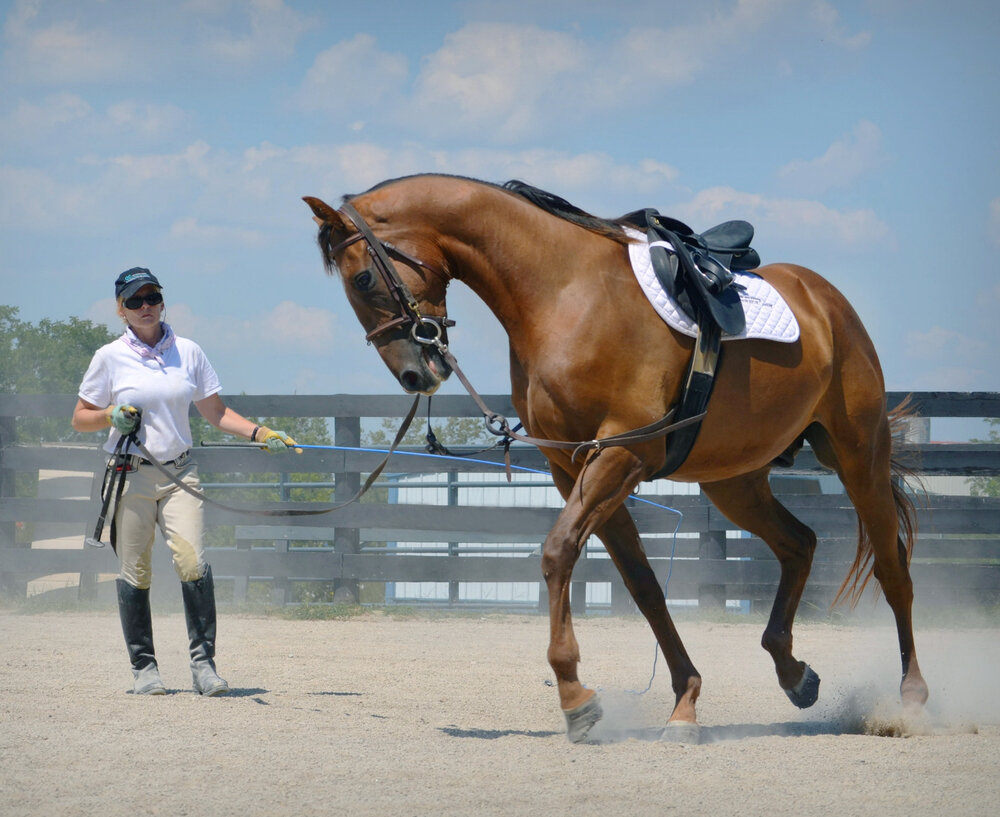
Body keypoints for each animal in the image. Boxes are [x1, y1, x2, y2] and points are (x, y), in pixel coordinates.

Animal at [300, 172, 924, 740]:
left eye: (362, 277)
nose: (414, 375)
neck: (562, 293)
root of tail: (826, 300)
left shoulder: (620, 455)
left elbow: (557, 554)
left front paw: (576, 697)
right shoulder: (574, 467)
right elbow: (642, 585)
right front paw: (684, 702)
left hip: (858, 454)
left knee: (892, 568)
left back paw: (911, 698)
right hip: (735, 479)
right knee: (799, 544)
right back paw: (794, 674)